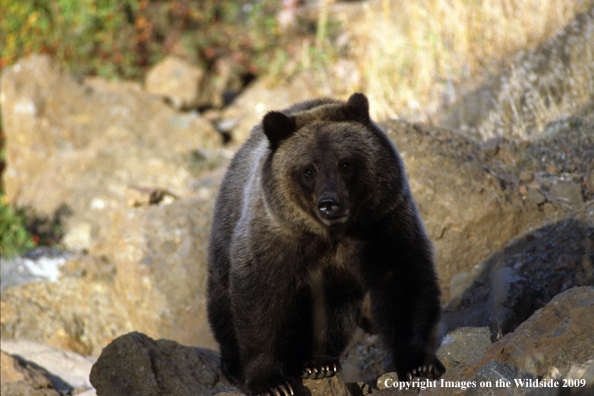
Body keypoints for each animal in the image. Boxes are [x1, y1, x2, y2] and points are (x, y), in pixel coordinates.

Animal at [206, 92, 442, 392]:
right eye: (308, 170)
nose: (329, 203)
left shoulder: (383, 226)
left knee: (335, 314)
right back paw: (234, 366)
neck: (333, 233)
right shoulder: (277, 240)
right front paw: (271, 382)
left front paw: (419, 365)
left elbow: (404, 283)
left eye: (345, 163)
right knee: (222, 306)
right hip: (224, 239)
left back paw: (319, 362)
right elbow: (261, 301)